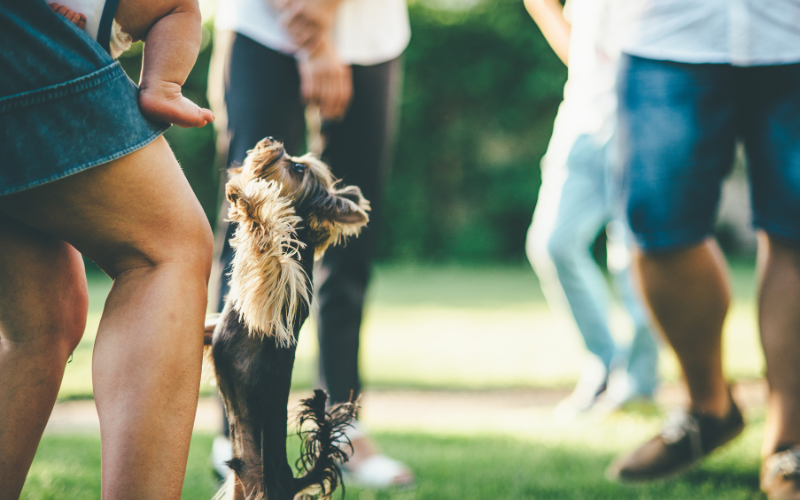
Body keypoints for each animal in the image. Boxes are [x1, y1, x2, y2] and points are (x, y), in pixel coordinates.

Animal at [205, 137, 370, 500]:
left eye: (297, 168)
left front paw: (246, 199)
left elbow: (264, 237)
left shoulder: (280, 283)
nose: (271, 142)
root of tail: (291, 481)